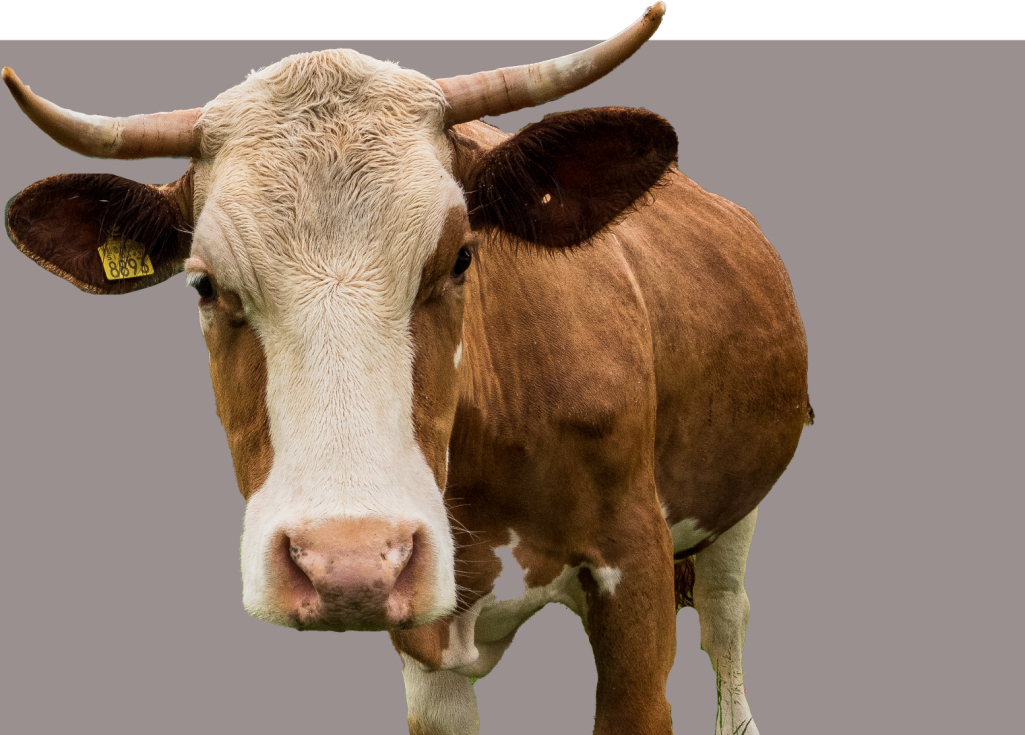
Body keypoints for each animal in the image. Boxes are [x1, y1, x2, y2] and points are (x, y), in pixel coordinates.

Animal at [2, 5, 811, 734]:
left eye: (459, 258)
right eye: (203, 283)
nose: (349, 561)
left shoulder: (635, 571)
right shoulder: (424, 642)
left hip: (737, 500)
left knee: (725, 618)